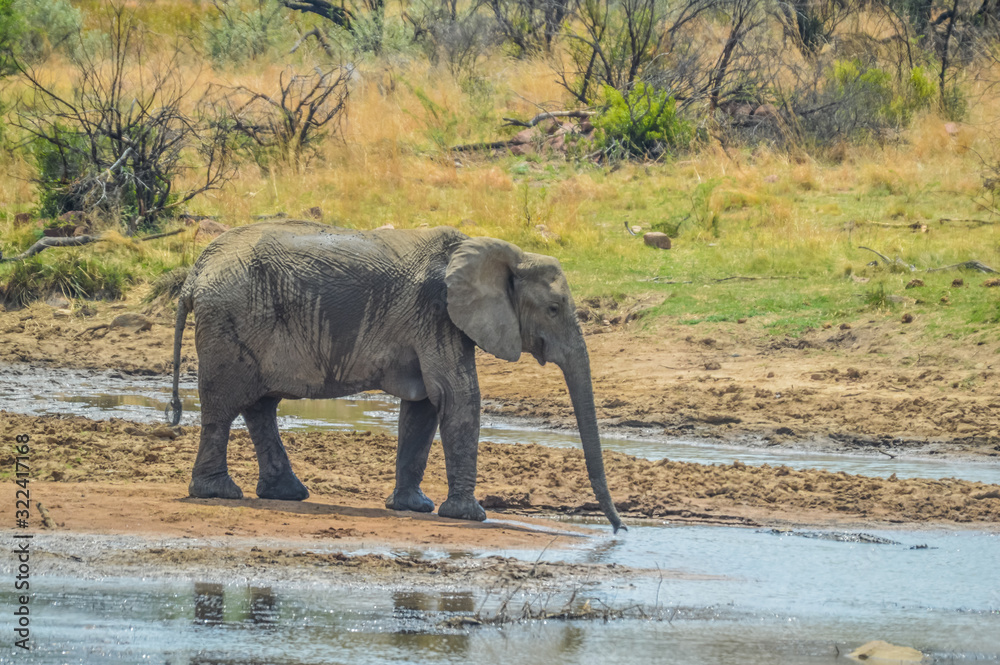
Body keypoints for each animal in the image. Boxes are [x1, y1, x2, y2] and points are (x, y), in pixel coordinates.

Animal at [170, 220, 624, 532]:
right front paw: (469, 515)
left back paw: (287, 494)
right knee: (223, 404)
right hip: (230, 318)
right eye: (553, 309)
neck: (499, 252)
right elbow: (458, 397)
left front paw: (413, 507)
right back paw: (219, 493)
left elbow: (424, 406)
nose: (619, 530)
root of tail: (195, 273)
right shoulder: (438, 313)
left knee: (260, 405)